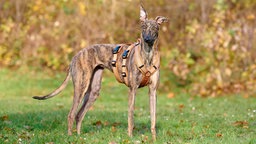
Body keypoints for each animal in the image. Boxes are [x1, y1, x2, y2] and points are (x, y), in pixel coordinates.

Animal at [32, 5, 168, 140]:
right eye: (143, 27)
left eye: (155, 28)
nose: (147, 39)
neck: (147, 56)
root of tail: (75, 57)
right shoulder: (132, 89)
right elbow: (131, 116)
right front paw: (130, 137)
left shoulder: (153, 91)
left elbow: (153, 118)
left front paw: (154, 139)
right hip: (81, 87)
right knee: (71, 114)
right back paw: (70, 137)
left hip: (94, 91)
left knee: (79, 115)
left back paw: (79, 136)